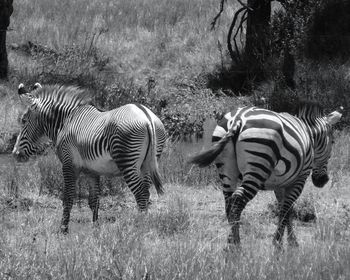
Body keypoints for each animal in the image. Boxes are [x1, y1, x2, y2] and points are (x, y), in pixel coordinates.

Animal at [13, 83, 166, 234]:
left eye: (23, 121)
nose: (15, 154)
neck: (66, 121)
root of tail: (146, 115)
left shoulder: (69, 164)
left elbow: (68, 198)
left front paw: (63, 230)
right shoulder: (92, 171)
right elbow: (94, 201)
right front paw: (95, 229)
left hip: (127, 162)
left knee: (141, 195)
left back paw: (139, 228)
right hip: (147, 164)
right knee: (146, 194)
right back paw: (144, 226)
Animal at [190, 101, 344, 248]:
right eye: (333, 142)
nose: (323, 181)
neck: (309, 134)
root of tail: (238, 118)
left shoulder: (281, 184)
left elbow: (286, 210)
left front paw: (290, 242)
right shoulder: (299, 179)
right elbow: (286, 210)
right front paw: (278, 243)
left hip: (226, 169)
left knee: (229, 204)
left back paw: (231, 243)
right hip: (258, 166)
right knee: (238, 200)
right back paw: (236, 246)